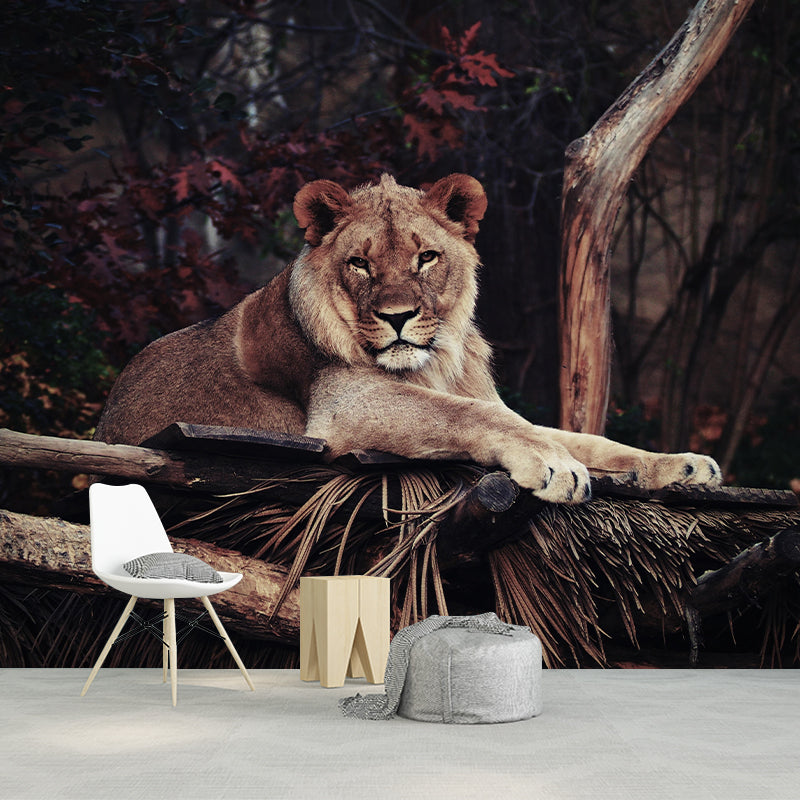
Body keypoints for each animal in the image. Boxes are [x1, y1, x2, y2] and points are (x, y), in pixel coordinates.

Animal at [95, 173, 722, 503]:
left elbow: (583, 438)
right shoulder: (345, 406)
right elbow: (475, 417)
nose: (397, 316)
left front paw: (680, 465)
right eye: (360, 264)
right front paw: (552, 464)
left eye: (427, 258)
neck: (434, 363)